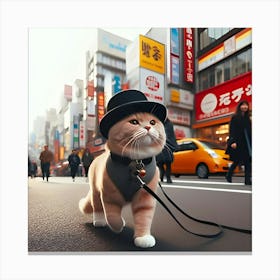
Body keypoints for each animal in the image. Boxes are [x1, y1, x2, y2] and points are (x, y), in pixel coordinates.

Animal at [79, 111, 166, 247]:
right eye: (134, 122)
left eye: (152, 122)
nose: (148, 127)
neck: (134, 162)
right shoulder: (109, 196)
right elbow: (112, 215)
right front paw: (117, 225)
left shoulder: (145, 198)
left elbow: (144, 218)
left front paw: (143, 237)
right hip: (96, 191)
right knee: (98, 207)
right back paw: (99, 221)